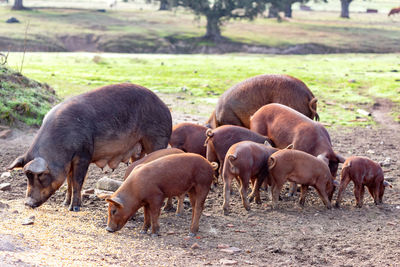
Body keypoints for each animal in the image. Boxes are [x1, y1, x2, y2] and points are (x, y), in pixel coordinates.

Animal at [6, 84, 172, 214]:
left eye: (40, 176)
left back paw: (166, 209)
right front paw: (64, 204)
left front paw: (74, 208)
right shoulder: (70, 163)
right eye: (26, 176)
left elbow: (78, 181)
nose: (27, 203)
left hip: (157, 140)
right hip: (138, 150)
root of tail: (165, 107)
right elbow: (69, 182)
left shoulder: (83, 154)